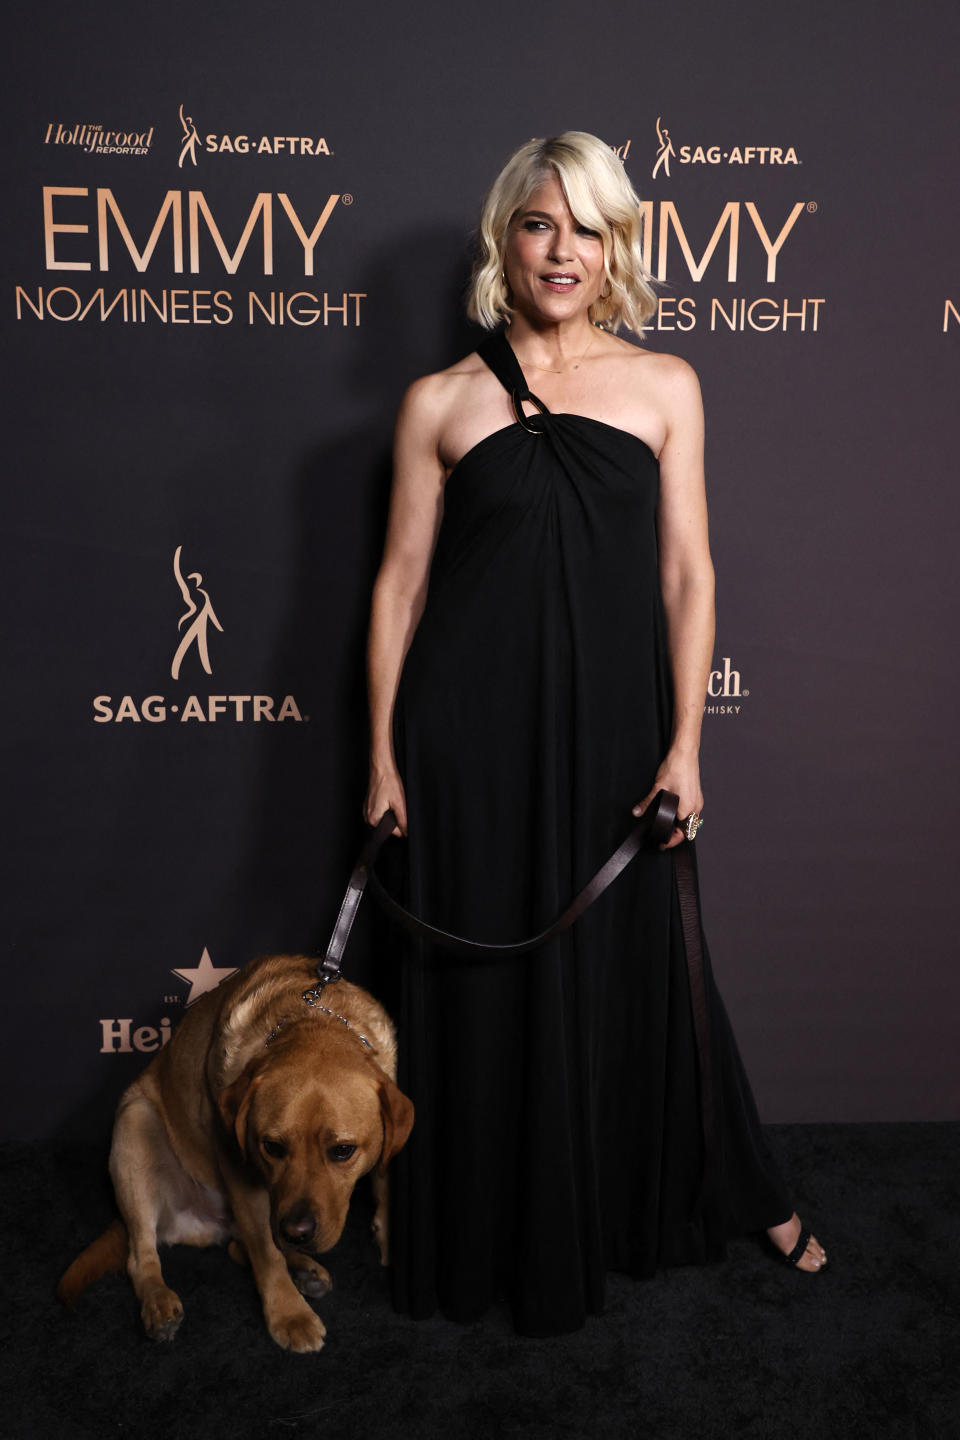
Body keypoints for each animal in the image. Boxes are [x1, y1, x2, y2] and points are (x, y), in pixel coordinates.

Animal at [56, 956, 414, 1347]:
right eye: (272, 1147)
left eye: (343, 1150)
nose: (296, 1233)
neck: (314, 1018)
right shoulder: (241, 1174)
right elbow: (266, 1254)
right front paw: (289, 1314)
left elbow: (386, 1187)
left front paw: (390, 1241)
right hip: (134, 1122)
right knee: (142, 1256)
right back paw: (158, 1301)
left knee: (235, 1247)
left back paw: (302, 1269)